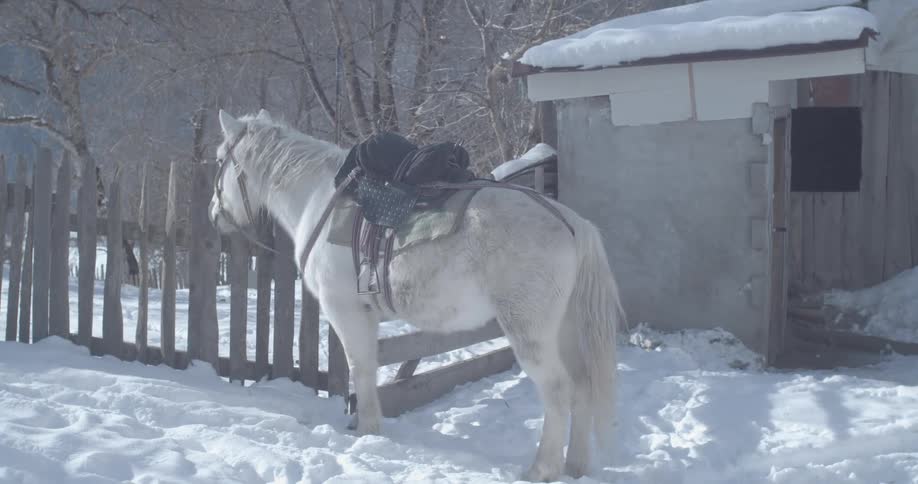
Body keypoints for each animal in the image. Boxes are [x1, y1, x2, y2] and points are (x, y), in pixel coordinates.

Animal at [209, 109, 625, 481]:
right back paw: (576, 466)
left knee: (557, 390)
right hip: (564, 330)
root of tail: (572, 224)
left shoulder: (345, 311)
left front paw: (367, 430)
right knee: (582, 387)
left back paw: (543, 469)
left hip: (530, 333)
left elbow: (361, 370)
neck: (317, 199)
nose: (214, 215)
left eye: (217, 160)